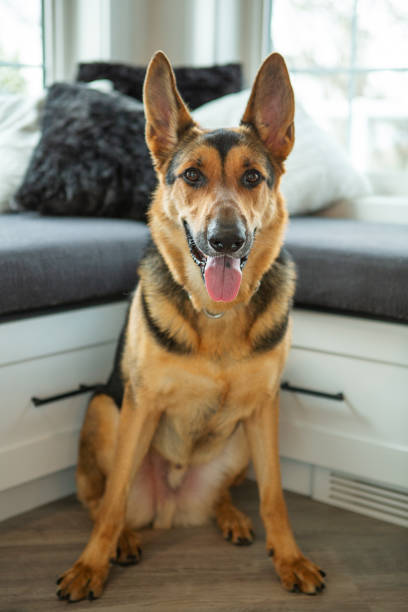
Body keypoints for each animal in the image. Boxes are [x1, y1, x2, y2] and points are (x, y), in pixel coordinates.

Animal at [56, 51, 326, 604]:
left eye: (253, 178)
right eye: (192, 176)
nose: (226, 240)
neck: (216, 314)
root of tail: (172, 506)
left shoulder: (264, 407)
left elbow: (275, 495)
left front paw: (288, 558)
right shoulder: (140, 404)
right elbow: (112, 500)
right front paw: (91, 565)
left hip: (240, 438)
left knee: (225, 492)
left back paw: (229, 516)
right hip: (104, 410)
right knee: (102, 498)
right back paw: (125, 538)